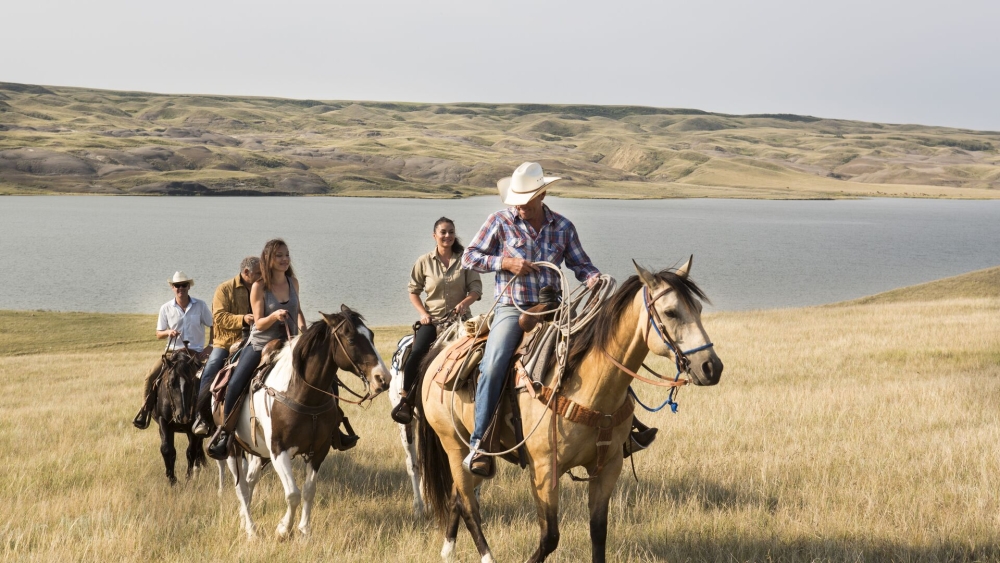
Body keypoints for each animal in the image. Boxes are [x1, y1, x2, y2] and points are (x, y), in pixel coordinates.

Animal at [151, 348, 206, 484]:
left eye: (191, 383)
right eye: (171, 384)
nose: (183, 416)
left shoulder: (193, 426)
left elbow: (191, 451)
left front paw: (188, 478)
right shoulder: (164, 422)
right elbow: (167, 449)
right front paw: (172, 479)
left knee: (197, 448)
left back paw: (197, 472)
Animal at [223, 306, 390, 540]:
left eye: (372, 336)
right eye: (351, 339)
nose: (383, 379)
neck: (302, 395)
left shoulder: (319, 450)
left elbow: (309, 491)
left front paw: (304, 530)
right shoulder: (279, 450)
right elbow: (293, 493)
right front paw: (283, 529)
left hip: (258, 452)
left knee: (249, 481)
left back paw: (243, 522)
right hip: (233, 449)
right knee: (241, 488)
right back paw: (251, 530)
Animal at [418, 260, 724, 563]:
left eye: (698, 309)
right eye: (671, 312)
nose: (712, 367)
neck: (591, 387)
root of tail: (440, 354)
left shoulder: (608, 467)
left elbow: (598, 531)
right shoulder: (544, 471)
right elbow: (550, 536)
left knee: (457, 498)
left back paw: (448, 550)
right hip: (453, 445)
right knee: (469, 505)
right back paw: (486, 557)